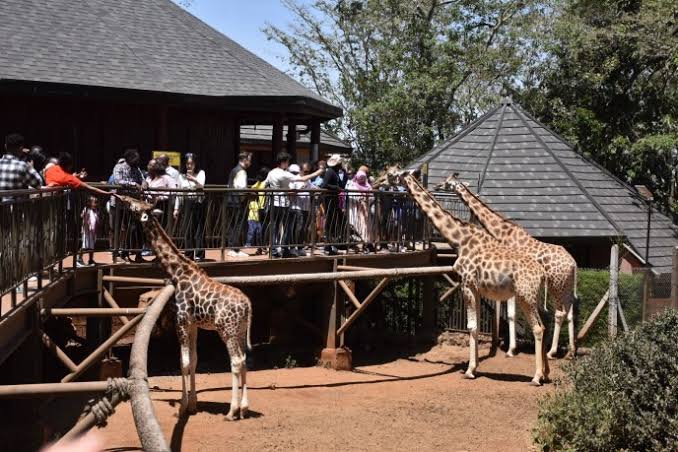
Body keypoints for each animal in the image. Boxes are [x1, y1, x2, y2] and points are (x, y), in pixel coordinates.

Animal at [117, 195, 252, 420]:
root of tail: (248, 306)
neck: (178, 272)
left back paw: (232, 410)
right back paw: (243, 408)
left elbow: (184, 362)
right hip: (240, 330)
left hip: (227, 330)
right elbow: (195, 360)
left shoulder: (180, 320)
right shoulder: (193, 324)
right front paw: (193, 404)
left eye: (136, 205)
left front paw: (182, 407)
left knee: (236, 361)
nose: (124, 198)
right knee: (244, 360)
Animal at [390, 170, 550, 385]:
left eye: (393, 174)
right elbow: (476, 326)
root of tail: (542, 273)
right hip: (534, 297)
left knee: (538, 328)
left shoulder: (466, 284)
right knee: (545, 324)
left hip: (525, 296)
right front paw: (475, 366)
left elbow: (471, 326)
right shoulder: (477, 288)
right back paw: (546, 373)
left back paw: (536, 376)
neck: (460, 240)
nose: (436, 185)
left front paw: (470, 370)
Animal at [438, 175, 577, 359]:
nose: (437, 185)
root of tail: (573, 263)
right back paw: (570, 351)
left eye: (448, 182)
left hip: (556, 285)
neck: (503, 232)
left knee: (560, 313)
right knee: (570, 311)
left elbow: (511, 315)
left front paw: (511, 350)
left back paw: (551, 352)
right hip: (566, 285)